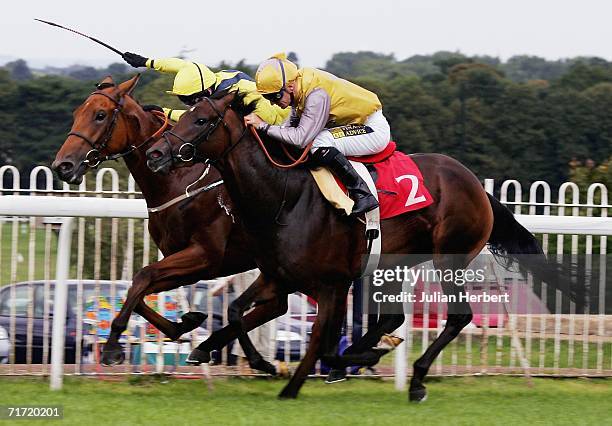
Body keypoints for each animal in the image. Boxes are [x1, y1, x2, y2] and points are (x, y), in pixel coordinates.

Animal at [50, 75, 284, 372]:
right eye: (76, 113)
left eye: (100, 115)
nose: (63, 166)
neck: (178, 180)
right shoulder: (187, 262)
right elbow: (138, 291)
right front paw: (186, 322)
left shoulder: (204, 255)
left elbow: (143, 276)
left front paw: (113, 346)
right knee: (277, 306)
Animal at [145, 91, 584, 402]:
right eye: (183, 115)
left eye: (202, 120)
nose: (155, 153)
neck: (285, 196)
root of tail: (476, 184)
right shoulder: (279, 275)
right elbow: (238, 311)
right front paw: (247, 359)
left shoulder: (331, 283)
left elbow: (320, 341)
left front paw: (296, 382)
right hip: (392, 263)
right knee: (389, 319)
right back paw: (372, 354)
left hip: (449, 257)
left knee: (457, 316)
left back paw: (415, 380)